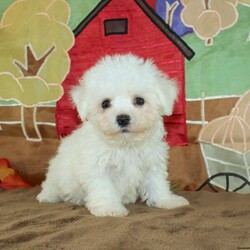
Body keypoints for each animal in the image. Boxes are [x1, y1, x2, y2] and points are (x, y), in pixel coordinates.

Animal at [37, 53, 188, 216]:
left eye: (139, 100)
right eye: (105, 103)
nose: (122, 118)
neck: (125, 145)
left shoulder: (151, 162)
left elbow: (157, 183)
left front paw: (167, 201)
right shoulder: (98, 166)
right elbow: (103, 188)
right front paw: (109, 208)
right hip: (58, 173)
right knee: (51, 184)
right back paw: (48, 196)